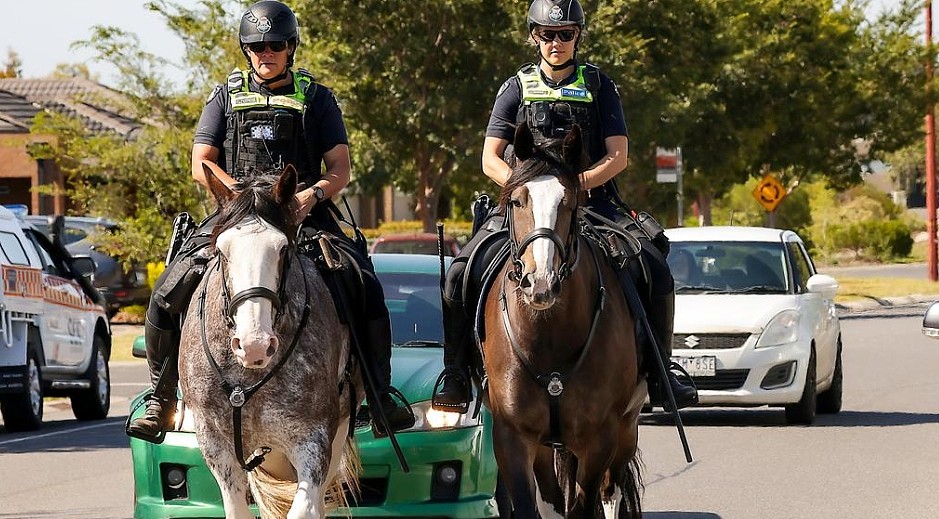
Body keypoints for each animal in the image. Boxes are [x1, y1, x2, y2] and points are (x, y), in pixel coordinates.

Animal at [484, 124, 648, 516]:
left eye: (569, 203)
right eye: (517, 201)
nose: (540, 282)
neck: (548, 336)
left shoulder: (600, 438)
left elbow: (587, 503)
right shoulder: (512, 436)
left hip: (627, 428)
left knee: (611, 490)